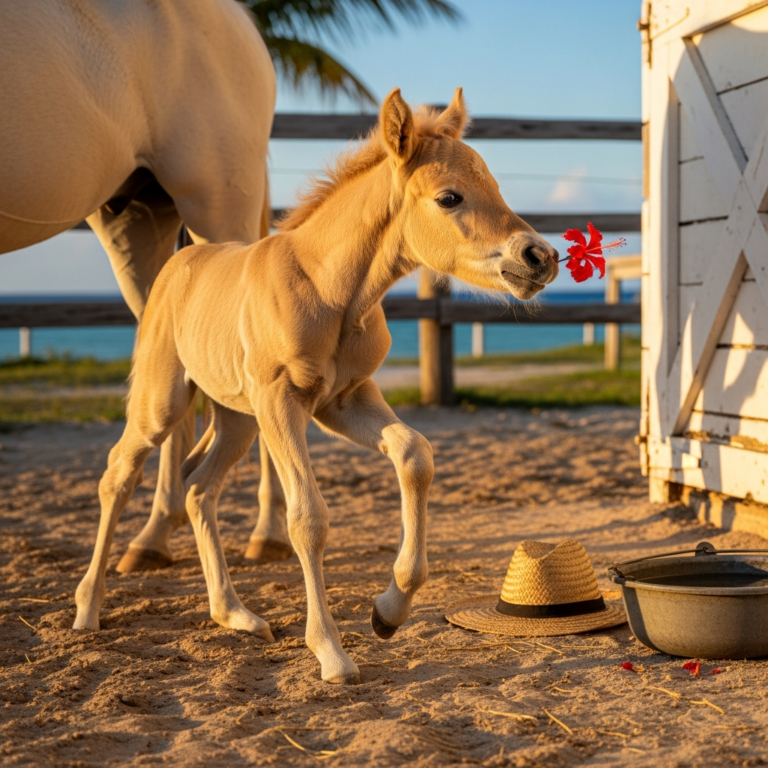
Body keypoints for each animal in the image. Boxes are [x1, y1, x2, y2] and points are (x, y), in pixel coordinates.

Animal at [72, 87, 559, 684]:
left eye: (496, 187)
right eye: (450, 197)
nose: (540, 257)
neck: (331, 290)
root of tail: (182, 258)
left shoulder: (344, 400)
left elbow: (415, 454)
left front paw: (388, 611)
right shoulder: (282, 402)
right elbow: (307, 516)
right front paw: (330, 651)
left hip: (238, 420)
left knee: (198, 488)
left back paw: (235, 615)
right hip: (162, 401)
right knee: (119, 474)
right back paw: (88, 609)